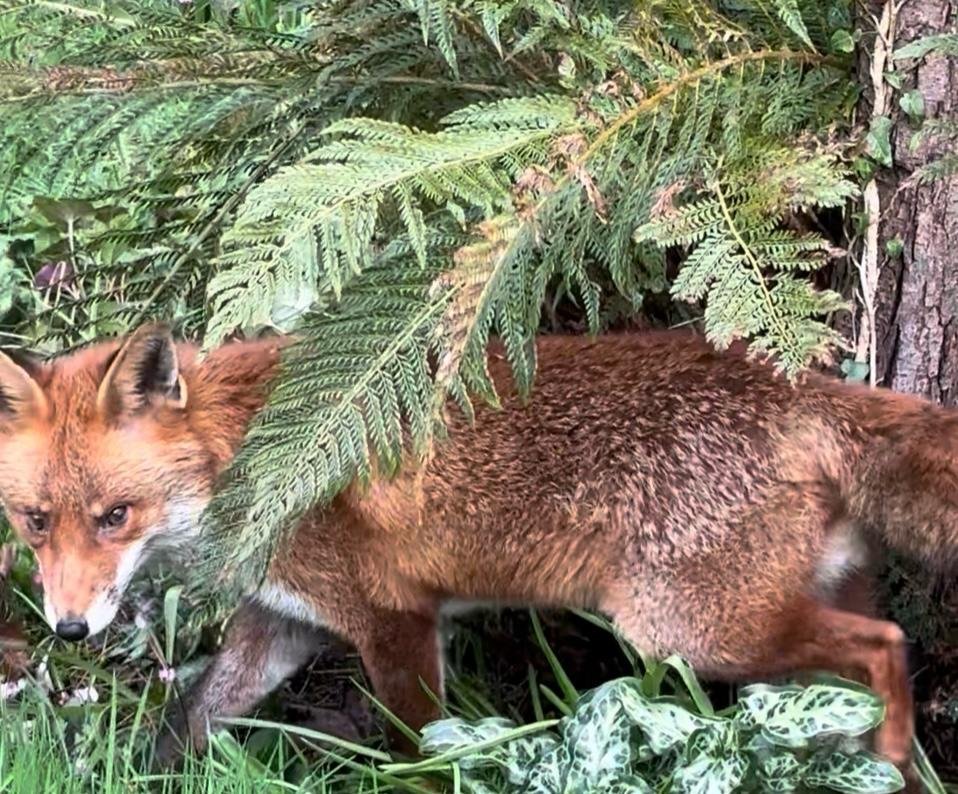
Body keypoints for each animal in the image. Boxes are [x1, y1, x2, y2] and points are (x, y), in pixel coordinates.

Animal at [0, 324, 955, 776]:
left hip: (688, 632)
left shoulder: (393, 620)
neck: (242, 459)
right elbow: (188, 722)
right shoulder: (284, 623)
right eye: (35, 521)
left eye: (116, 516)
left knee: (889, 647)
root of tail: (799, 387)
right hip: (780, 618)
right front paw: (135, 781)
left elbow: (420, 756)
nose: (70, 630)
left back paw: (889, 756)